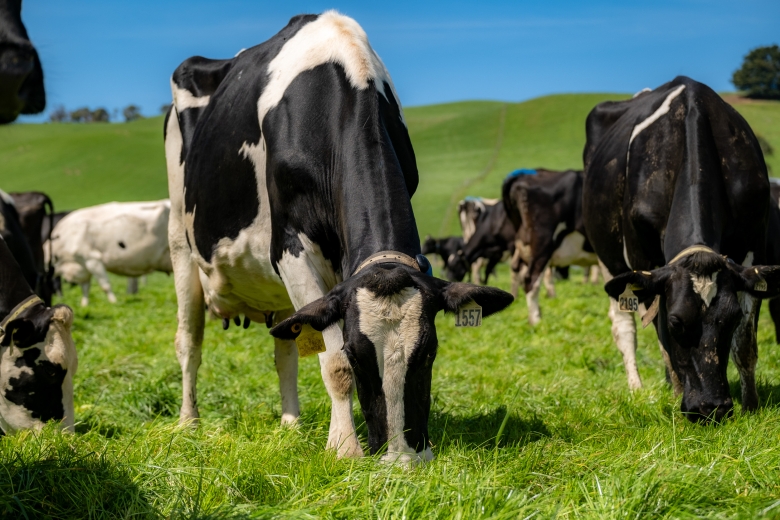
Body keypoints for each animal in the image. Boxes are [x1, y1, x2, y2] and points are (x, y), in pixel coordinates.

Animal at [165, 11, 513, 463]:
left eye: (429, 353)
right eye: (358, 355)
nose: (403, 458)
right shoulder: (291, 250)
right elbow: (332, 363)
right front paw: (345, 447)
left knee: (286, 346)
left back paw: (291, 423)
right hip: (180, 240)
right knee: (189, 341)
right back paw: (188, 422)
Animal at [583, 76, 779, 423]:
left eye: (729, 319)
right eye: (677, 321)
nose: (712, 408)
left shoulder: (753, 250)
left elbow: (745, 343)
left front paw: (751, 404)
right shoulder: (645, 263)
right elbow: (661, 337)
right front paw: (675, 395)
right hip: (609, 261)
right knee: (623, 326)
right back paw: (637, 388)